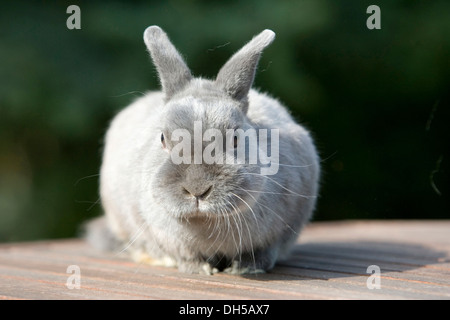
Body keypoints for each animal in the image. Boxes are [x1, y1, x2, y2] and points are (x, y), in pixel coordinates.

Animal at [86, 25, 320, 276]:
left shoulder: (276, 236)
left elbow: (263, 253)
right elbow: (186, 256)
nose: (197, 190)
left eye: (235, 139)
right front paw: (200, 270)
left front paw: (245, 269)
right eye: (162, 138)